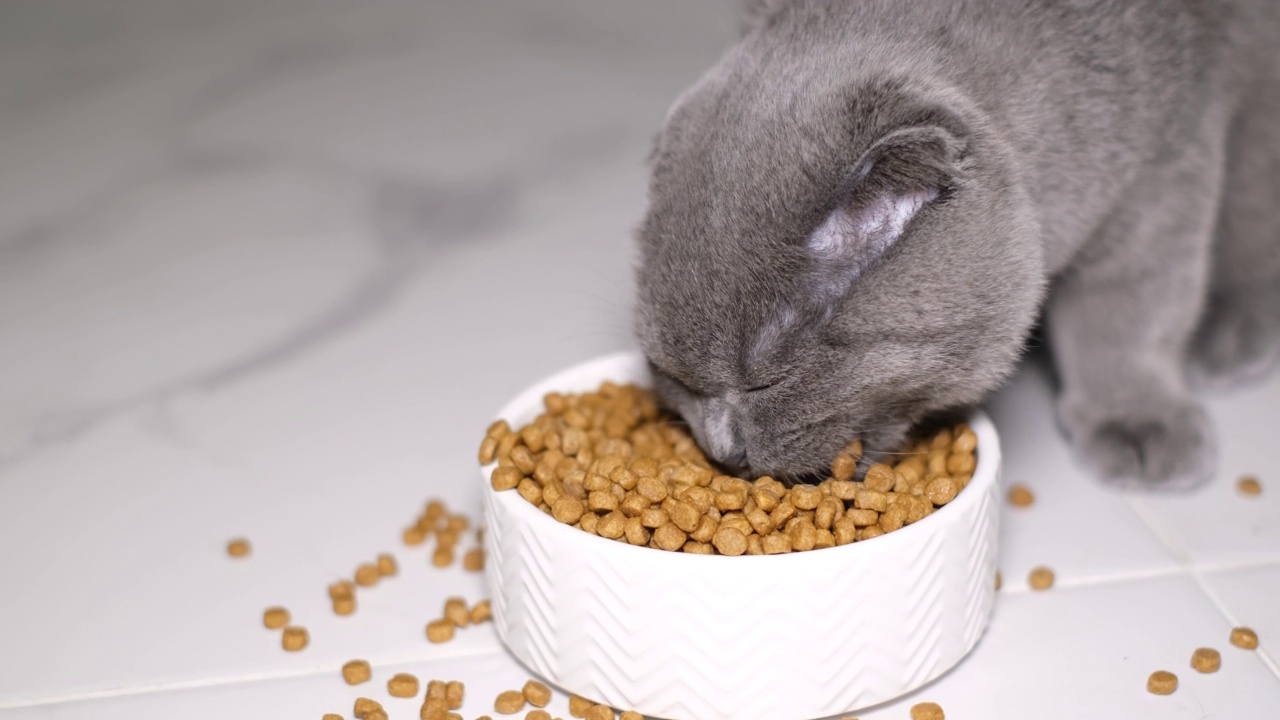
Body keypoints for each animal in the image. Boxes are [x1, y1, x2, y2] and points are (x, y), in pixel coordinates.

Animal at [632, 0, 1280, 486]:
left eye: (765, 382)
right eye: (673, 376)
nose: (723, 449)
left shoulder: (1162, 177)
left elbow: (1128, 318)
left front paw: (1136, 421)